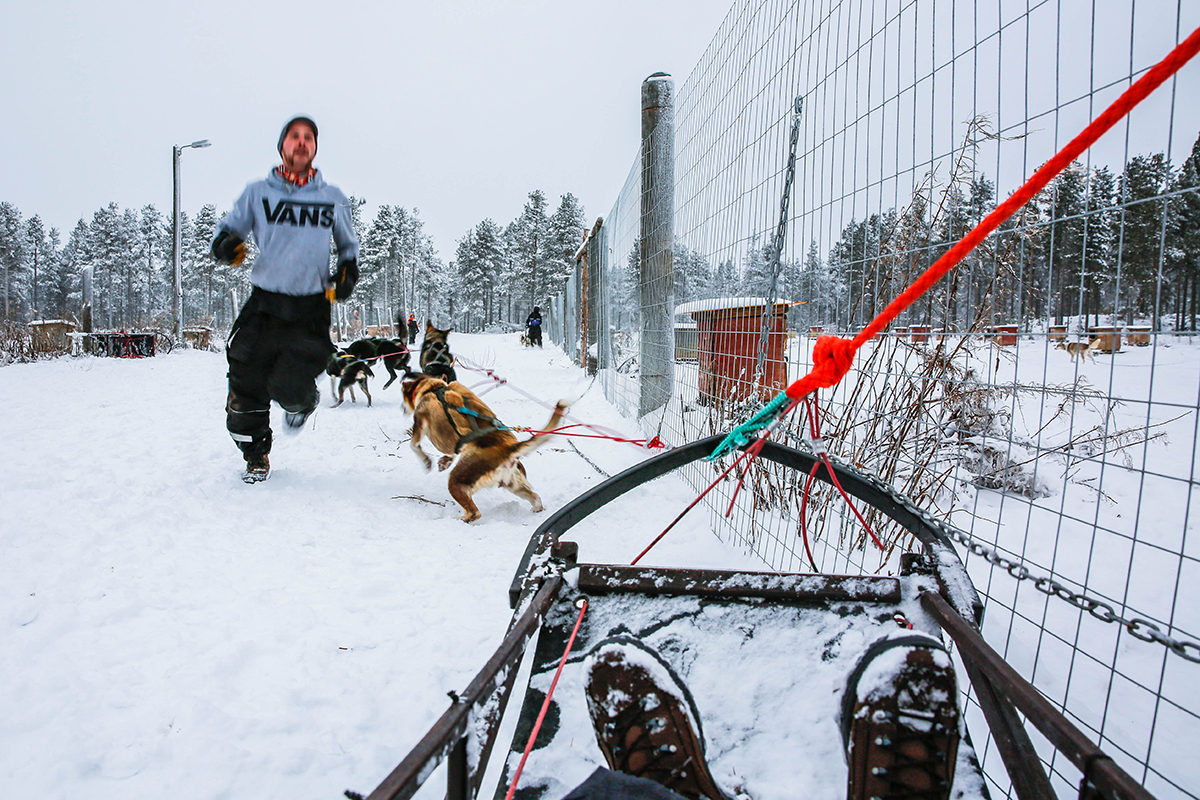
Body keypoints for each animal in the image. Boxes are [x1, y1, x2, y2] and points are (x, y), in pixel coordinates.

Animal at [400, 371, 568, 522]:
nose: (402, 409)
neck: (433, 388)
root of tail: (508, 450)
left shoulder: (419, 421)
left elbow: (413, 444)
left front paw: (426, 460)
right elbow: (452, 453)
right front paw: (445, 461)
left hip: (456, 482)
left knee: (474, 513)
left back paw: (457, 520)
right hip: (514, 485)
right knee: (536, 497)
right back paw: (536, 509)